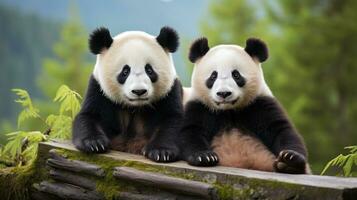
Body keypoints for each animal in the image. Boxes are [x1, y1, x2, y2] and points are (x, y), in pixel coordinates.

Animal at [72, 26, 184, 163]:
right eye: (125, 71)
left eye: (149, 70)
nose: (139, 91)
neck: (135, 107)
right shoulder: (99, 91)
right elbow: (88, 117)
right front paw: (94, 144)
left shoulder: (169, 92)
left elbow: (172, 121)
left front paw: (161, 151)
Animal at [179, 37, 310, 173]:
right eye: (213, 76)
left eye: (236, 75)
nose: (224, 93)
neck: (229, 111)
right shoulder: (200, 106)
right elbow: (191, 131)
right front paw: (204, 156)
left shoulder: (259, 104)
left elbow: (281, 129)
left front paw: (289, 158)